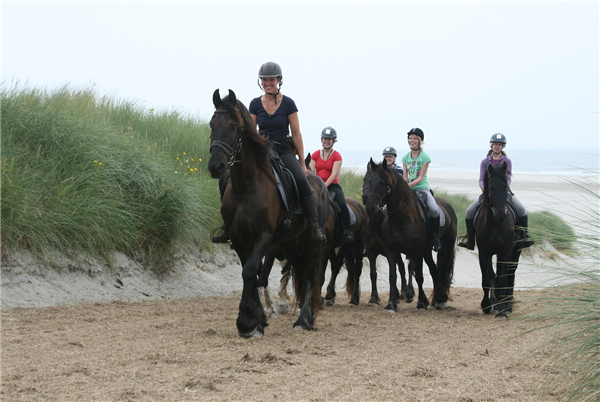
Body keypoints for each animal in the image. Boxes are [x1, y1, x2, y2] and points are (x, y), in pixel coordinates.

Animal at [206, 90, 328, 336]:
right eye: (211, 124)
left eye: (234, 126)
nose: (216, 166)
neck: (247, 186)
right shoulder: (238, 237)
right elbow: (251, 273)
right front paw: (258, 320)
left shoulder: (265, 236)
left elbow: (251, 271)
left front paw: (246, 321)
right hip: (292, 243)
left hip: (312, 241)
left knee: (311, 274)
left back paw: (304, 319)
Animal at [364, 159, 458, 312]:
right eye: (369, 181)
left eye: (383, 183)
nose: (369, 207)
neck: (401, 218)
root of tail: (447, 204)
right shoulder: (391, 250)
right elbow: (392, 276)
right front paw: (391, 304)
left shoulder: (415, 251)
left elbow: (419, 276)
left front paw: (421, 303)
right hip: (427, 250)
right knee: (434, 270)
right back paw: (435, 300)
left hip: (446, 246)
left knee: (442, 270)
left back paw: (440, 300)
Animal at [476, 162, 516, 318]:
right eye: (491, 187)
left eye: (505, 186)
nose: (500, 215)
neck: (495, 225)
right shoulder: (484, 253)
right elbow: (487, 279)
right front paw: (486, 305)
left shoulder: (505, 251)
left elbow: (503, 279)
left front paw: (503, 312)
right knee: (494, 276)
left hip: (516, 252)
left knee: (511, 276)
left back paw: (507, 305)